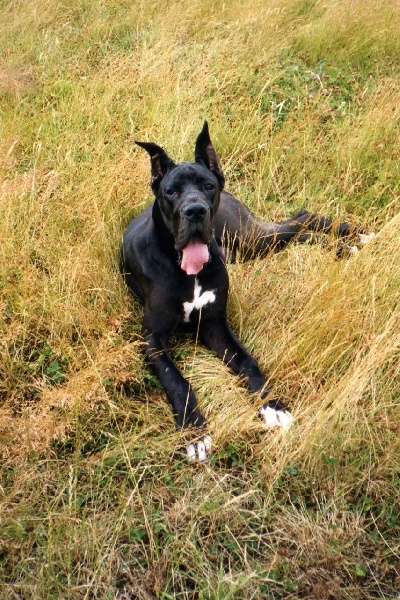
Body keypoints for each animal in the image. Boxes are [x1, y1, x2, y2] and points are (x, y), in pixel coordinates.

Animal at [121, 120, 368, 460]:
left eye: (207, 186)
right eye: (171, 192)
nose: (195, 211)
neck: (184, 268)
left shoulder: (215, 324)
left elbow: (247, 361)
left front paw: (273, 406)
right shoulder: (152, 338)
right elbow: (177, 381)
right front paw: (194, 432)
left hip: (247, 236)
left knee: (300, 219)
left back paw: (354, 236)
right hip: (251, 246)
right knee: (298, 232)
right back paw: (346, 245)